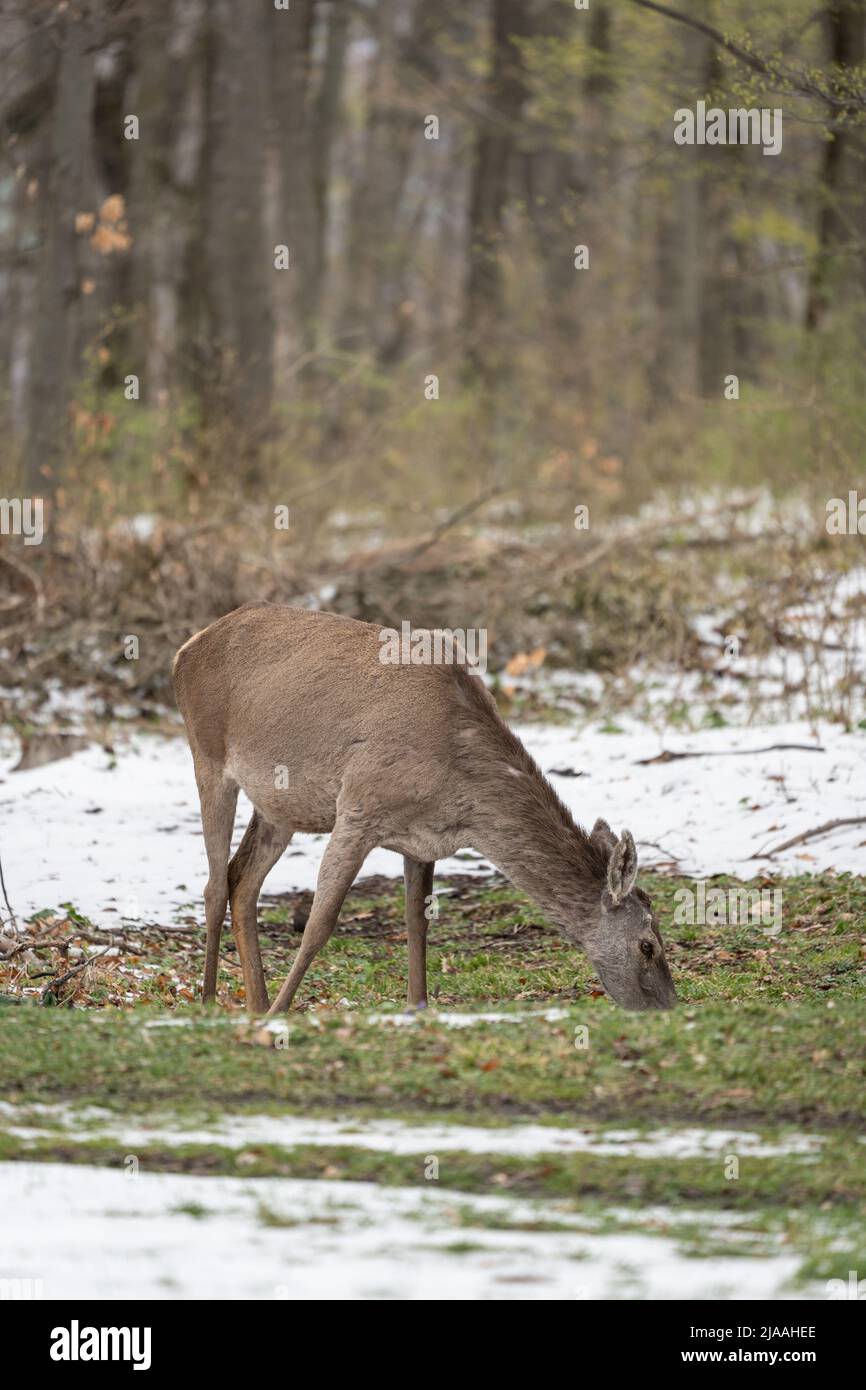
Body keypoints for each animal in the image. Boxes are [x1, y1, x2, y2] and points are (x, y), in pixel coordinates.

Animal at [173, 604, 677, 1016]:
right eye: (648, 945)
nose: (669, 1008)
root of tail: (185, 649)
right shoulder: (358, 807)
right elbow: (320, 923)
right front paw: (282, 1012)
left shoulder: (422, 840)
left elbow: (418, 922)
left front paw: (418, 1007)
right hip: (207, 757)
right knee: (214, 884)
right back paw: (211, 1002)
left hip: (279, 805)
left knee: (242, 879)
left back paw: (253, 1004)